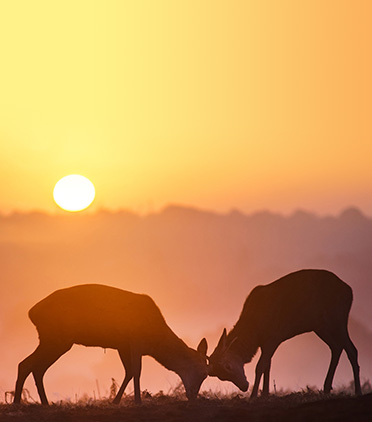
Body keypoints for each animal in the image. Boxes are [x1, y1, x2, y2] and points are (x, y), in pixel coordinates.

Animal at [13, 286, 208, 404]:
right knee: (29, 364)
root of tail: (32, 313)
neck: (155, 342)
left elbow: (128, 372)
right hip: (57, 338)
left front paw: (116, 401)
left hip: (53, 339)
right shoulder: (135, 339)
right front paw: (138, 401)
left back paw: (43, 403)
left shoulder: (123, 345)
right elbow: (136, 370)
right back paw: (19, 402)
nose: (193, 396)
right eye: (202, 373)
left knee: (32, 366)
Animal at [206, 268, 360, 398]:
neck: (254, 331)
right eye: (221, 376)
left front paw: (254, 395)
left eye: (228, 366)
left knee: (351, 349)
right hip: (321, 327)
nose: (244, 386)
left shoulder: (274, 337)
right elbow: (267, 366)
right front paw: (265, 394)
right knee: (336, 347)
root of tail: (349, 291)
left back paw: (357, 390)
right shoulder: (265, 343)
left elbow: (260, 366)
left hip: (338, 319)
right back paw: (327, 388)